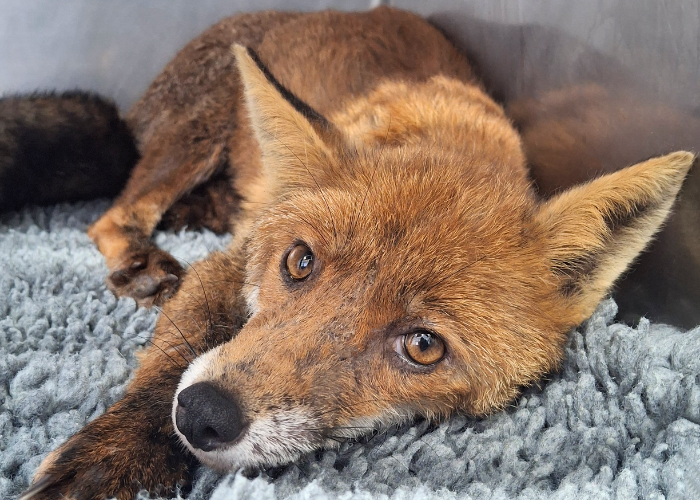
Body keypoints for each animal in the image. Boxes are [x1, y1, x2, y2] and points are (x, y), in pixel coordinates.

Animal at [13, 6, 695, 500]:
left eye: (423, 346)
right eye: (299, 262)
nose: (204, 413)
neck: (445, 135)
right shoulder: (229, 264)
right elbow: (174, 362)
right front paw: (113, 457)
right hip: (193, 138)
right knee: (113, 212)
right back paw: (139, 260)